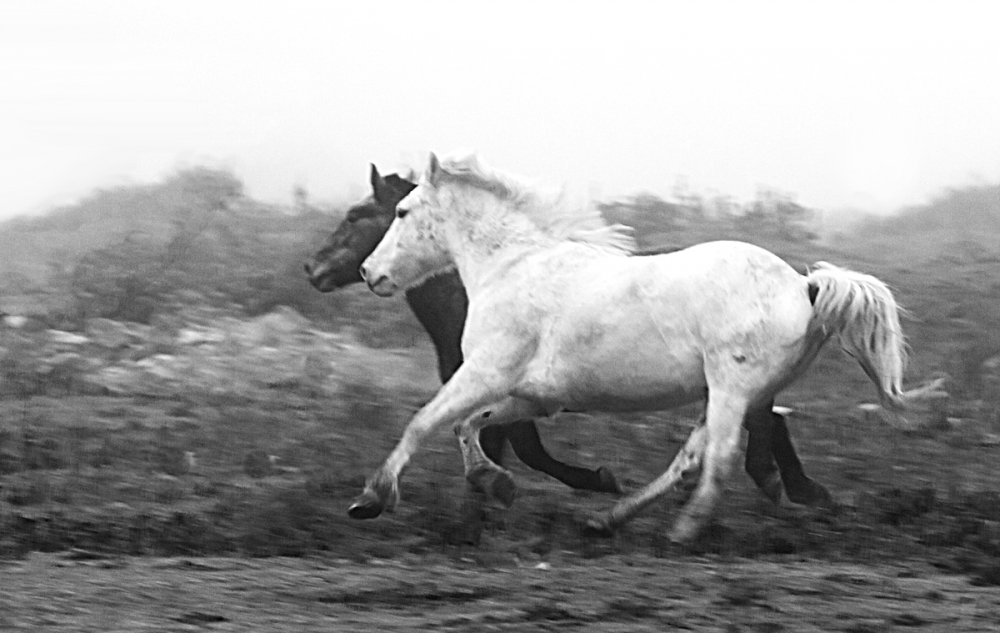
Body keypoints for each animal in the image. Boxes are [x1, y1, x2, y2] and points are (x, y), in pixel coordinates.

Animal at [354, 151, 944, 540]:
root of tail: (804, 285)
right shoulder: (534, 396)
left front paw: (372, 498)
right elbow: (468, 426)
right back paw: (609, 517)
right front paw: (495, 484)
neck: (512, 266)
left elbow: (425, 422)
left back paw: (682, 530)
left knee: (717, 460)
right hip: (738, 394)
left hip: (732, 389)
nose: (369, 273)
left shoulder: (485, 372)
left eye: (401, 213)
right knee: (691, 458)